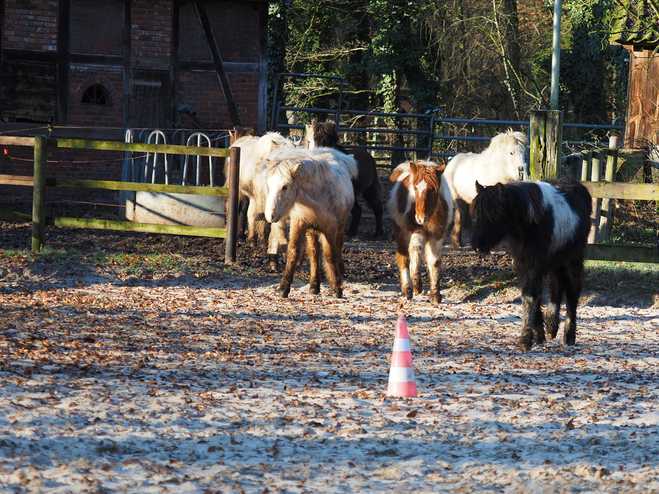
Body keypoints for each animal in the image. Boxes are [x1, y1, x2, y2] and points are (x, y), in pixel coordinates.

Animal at [262, 147, 358, 300]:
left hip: (338, 226)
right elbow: (293, 253)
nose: (270, 216)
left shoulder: (330, 229)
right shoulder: (299, 224)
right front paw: (283, 288)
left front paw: (336, 288)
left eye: (285, 187)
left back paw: (339, 273)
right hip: (311, 231)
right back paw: (314, 286)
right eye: (270, 185)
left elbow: (330, 256)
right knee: (314, 253)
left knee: (336, 248)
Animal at [386, 160, 454, 302]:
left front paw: (436, 294)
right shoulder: (416, 230)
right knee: (404, 257)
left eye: (432, 189)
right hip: (401, 232)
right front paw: (417, 285)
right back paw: (407, 290)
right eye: (415, 188)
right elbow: (415, 251)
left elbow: (434, 261)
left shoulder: (437, 235)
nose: (420, 218)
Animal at [472, 178, 596, 352]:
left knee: (572, 291)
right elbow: (532, 295)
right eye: (477, 214)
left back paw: (569, 335)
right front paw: (538, 335)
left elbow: (530, 296)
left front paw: (525, 339)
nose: (477, 246)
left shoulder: (535, 263)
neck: (528, 223)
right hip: (555, 261)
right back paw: (551, 328)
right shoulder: (525, 263)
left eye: (494, 215)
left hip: (573, 259)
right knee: (556, 287)